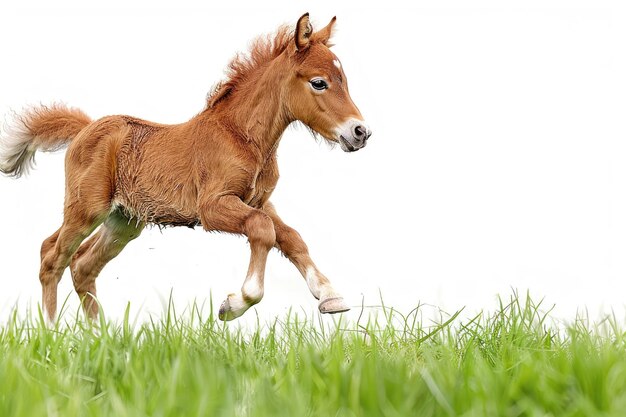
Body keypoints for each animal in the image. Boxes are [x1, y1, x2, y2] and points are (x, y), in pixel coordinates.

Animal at [0, 12, 370, 318]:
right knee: (52, 256)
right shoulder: (212, 207)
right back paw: (52, 334)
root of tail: (86, 128)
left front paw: (331, 297)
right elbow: (262, 230)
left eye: (345, 79)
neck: (241, 136)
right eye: (319, 82)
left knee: (82, 266)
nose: (360, 132)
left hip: (123, 222)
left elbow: (291, 237)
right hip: (86, 209)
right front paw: (234, 304)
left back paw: (99, 338)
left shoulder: (259, 201)